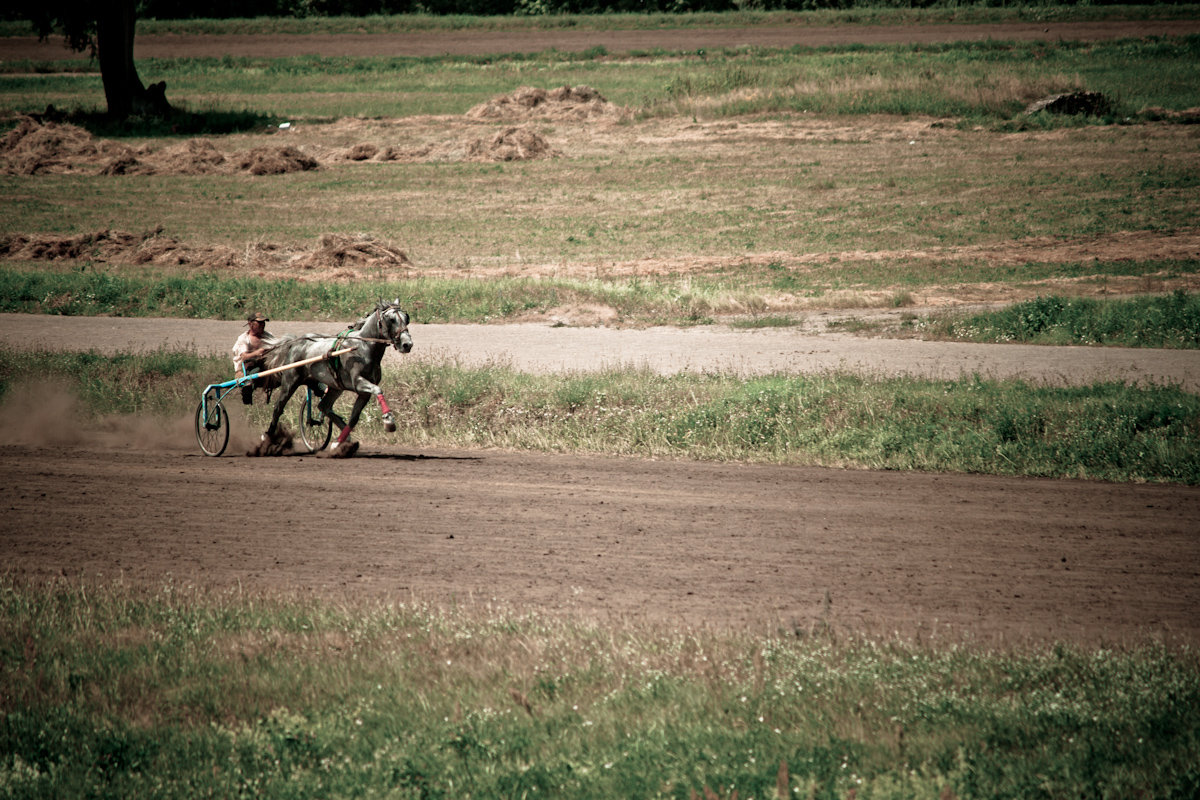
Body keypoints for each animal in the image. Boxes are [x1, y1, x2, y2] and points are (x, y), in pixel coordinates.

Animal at [259, 298, 417, 455]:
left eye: (406, 318)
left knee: (323, 406)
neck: (362, 347)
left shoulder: (363, 392)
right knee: (278, 407)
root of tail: (295, 343)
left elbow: (354, 417)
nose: (407, 344)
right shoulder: (358, 382)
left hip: (333, 387)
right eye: (391, 319)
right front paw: (389, 421)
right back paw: (267, 439)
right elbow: (378, 390)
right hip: (290, 381)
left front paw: (338, 442)